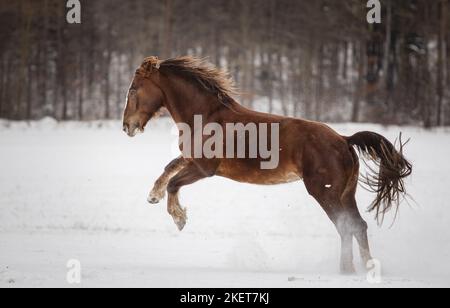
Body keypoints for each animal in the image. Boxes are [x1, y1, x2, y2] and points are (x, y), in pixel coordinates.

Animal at [122, 56, 412, 274]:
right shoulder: (191, 159)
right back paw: (364, 269)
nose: (127, 126)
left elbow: (174, 182)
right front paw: (153, 195)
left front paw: (179, 218)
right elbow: (169, 166)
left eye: (133, 89)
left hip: (325, 192)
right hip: (345, 193)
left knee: (346, 227)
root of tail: (344, 139)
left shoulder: (205, 168)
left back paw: (347, 270)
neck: (205, 116)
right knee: (358, 226)